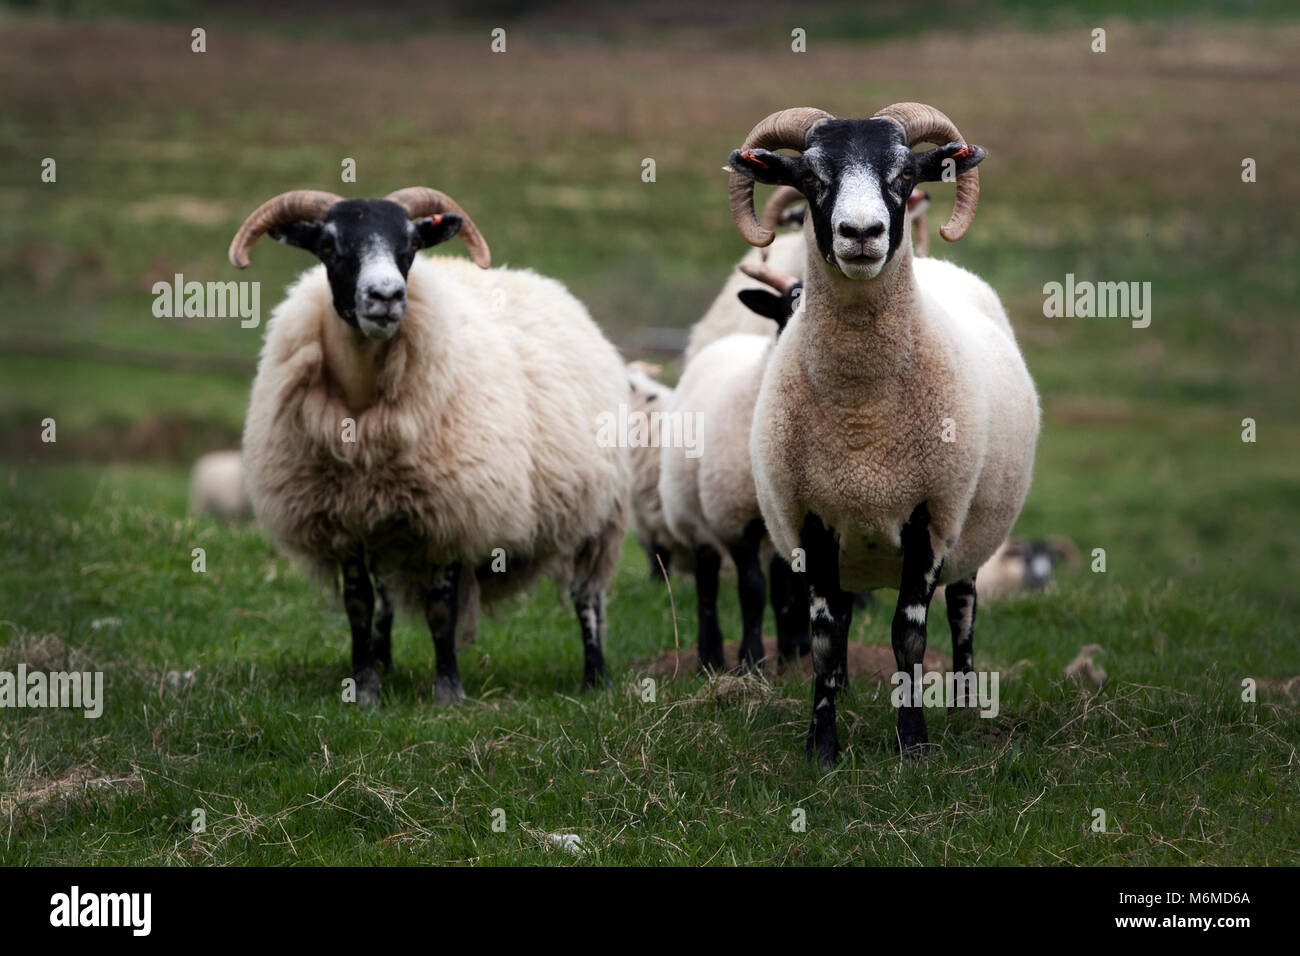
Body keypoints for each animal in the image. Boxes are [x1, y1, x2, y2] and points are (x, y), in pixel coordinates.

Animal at [228, 188, 629, 712]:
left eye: (411, 244)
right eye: (329, 244)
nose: (386, 296)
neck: (363, 401)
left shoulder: (454, 512)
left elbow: (442, 611)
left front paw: (448, 692)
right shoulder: (343, 520)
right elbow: (359, 607)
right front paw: (366, 687)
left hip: (600, 513)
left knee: (589, 598)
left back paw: (594, 677)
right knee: (385, 599)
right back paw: (385, 662)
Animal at [728, 102, 1040, 764]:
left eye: (903, 174)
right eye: (811, 176)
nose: (862, 233)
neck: (862, 419)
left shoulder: (931, 516)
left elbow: (909, 635)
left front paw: (914, 742)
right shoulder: (813, 518)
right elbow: (824, 635)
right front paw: (822, 745)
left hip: (971, 531)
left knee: (963, 612)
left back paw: (965, 705)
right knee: (846, 619)